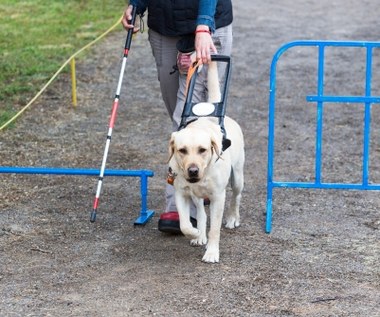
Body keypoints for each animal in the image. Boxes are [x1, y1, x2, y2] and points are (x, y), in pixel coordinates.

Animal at [168, 61, 245, 262]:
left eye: (203, 150)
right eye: (182, 150)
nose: (193, 170)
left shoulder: (218, 197)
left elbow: (215, 230)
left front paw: (211, 252)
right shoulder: (181, 193)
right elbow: (184, 224)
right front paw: (195, 233)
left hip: (237, 177)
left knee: (236, 197)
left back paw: (233, 218)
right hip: (196, 195)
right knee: (201, 213)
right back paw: (200, 234)